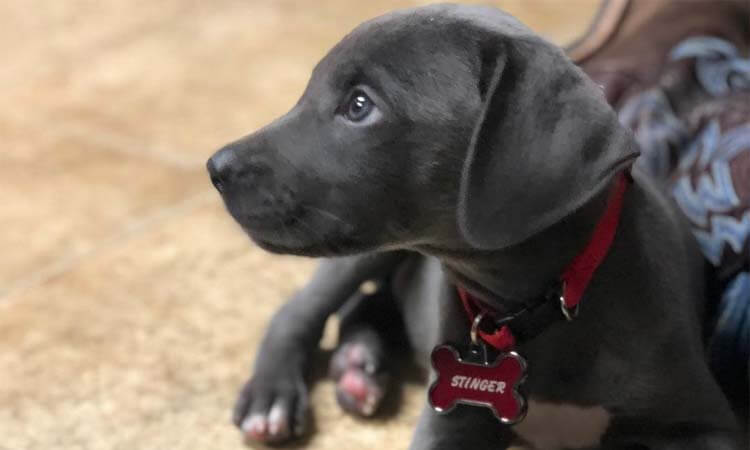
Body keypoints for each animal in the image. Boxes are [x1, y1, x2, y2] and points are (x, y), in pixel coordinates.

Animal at [207, 4, 748, 450]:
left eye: (359, 105)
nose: (215, 167)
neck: (535, 309)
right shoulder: (452, 421)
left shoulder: (705, 425)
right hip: (368, 253)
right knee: (303, 309)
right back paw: (276, 397)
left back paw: (359, 366)